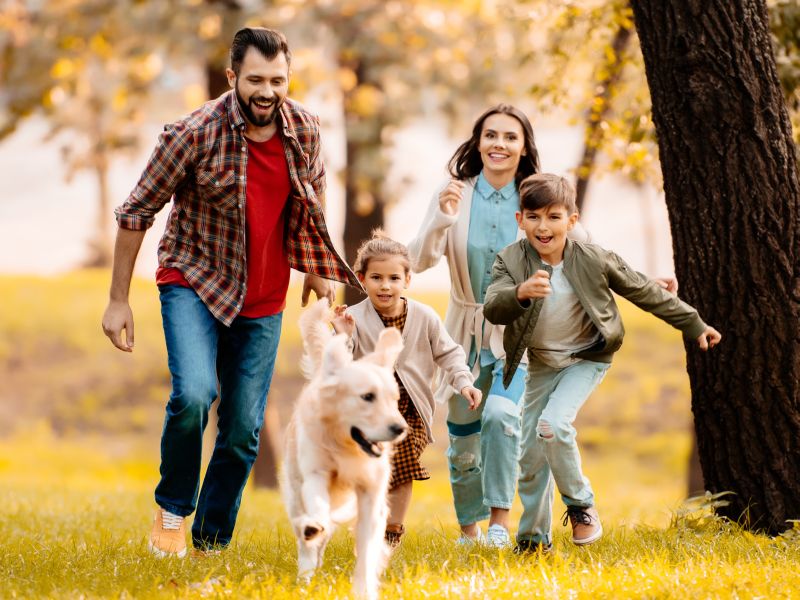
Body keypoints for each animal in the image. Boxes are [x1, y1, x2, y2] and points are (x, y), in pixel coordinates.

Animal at [282, 298, 406, 596]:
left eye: (394, 399)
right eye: (367, 396)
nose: (400, 428)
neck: (346, 448)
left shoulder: (371, 492)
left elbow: (368, 549)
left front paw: (364, 589)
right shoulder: (316, 474)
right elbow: (316, 509)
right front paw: (312, 529)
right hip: (294, 489)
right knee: (306, 534)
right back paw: (306, 574)